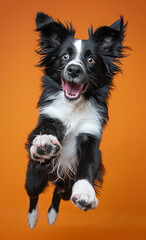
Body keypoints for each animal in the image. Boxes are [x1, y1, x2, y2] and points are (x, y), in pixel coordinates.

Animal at [24, 12, 127, 229]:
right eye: (65, 56)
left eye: (90, 59)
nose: (73, 70)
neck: (74, 106)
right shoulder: (50, 116)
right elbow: (47, 128)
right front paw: (44, 142)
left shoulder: (91, 136)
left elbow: (87, 163)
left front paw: (85, 192)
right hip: (34, 177)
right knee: (33, 195)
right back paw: (33, 218)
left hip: (64, 188)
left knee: (57, 193)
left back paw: (52, 216)